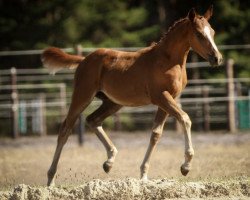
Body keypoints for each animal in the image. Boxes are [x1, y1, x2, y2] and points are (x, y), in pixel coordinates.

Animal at [41, 6, 223, 188]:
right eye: (199, 34)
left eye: (213, 32)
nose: (217, 58)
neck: (167, 60)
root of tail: (84, 59)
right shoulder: (161, 97)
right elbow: (185, 118)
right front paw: (186, 166)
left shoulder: (167, 100)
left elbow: (156, 134)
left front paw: (143, 174)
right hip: (82, 95)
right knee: (65, 129)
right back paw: (50, 179)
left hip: (113, 102)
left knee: (93, 120)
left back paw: (109, 161)